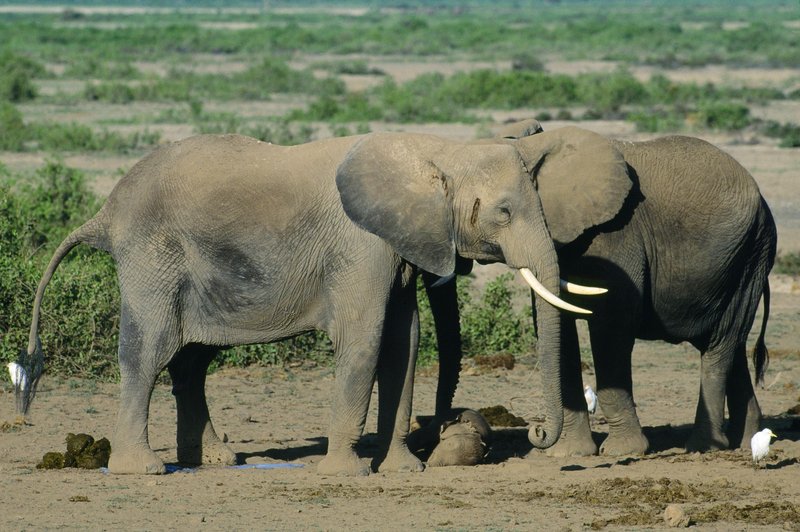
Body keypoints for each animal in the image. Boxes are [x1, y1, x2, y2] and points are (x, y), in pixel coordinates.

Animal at [424, 123, 776, 458]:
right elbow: (560, 326)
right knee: (734, 346)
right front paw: (568, 453)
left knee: (719, 346)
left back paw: (703, 446)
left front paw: (623, 451)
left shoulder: (617, 231)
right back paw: (746, 441)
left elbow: (611, 323)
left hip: (750, 254)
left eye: (503, 212)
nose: (536, 432)